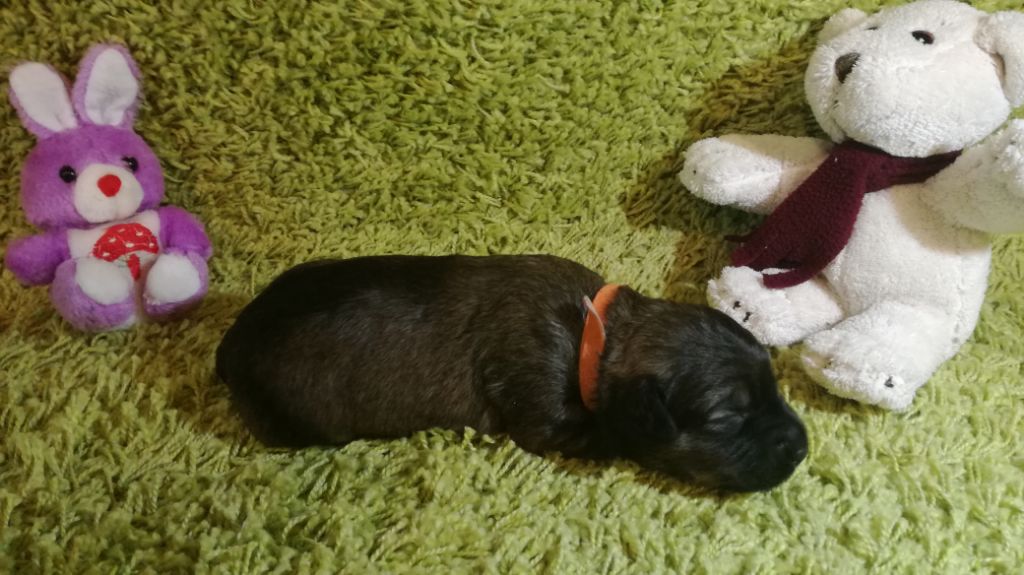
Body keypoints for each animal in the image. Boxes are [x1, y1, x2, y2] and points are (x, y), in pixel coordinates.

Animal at [216, 255, 808, 492]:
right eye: (727, 415)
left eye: (772, 384)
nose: (803, 447)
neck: (594, 336)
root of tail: (230, 345)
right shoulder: (546, 416)